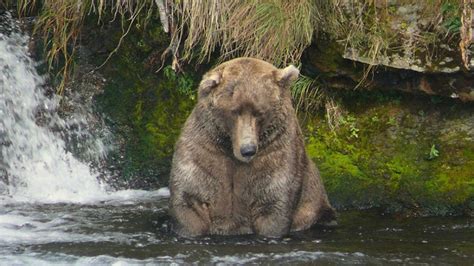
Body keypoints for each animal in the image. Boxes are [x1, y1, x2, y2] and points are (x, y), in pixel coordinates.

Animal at [168, 57, 336, 238]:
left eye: (260, 112)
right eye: (234, 111)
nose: (247, 150)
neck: (230, 148)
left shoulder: (276, 154)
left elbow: (273, 202)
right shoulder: (204, 150)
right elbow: (191, 199)